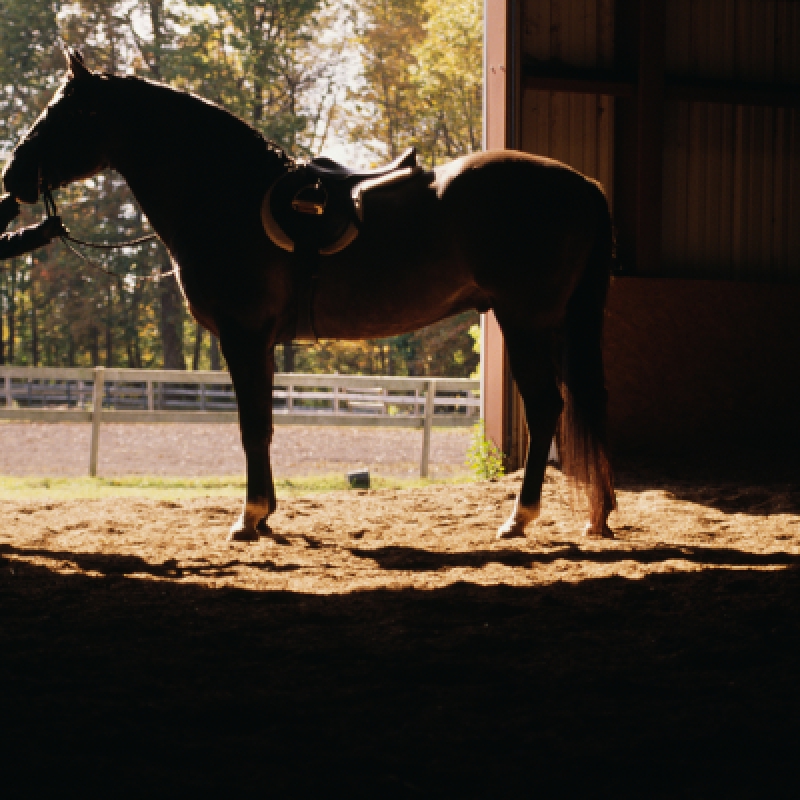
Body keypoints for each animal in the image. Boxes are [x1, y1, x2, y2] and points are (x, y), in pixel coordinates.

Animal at [2, 50, 616, 541]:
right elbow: (266, 425)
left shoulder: (243, 336)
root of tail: (582, 184)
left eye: (67, 112)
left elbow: (251, 425)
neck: (225, 194)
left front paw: (248, 517)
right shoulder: (262, 344)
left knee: (545, 409)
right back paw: (597, 514)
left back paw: (520, 517)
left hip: (525, 321)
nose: (12, 177)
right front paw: (266, 513)